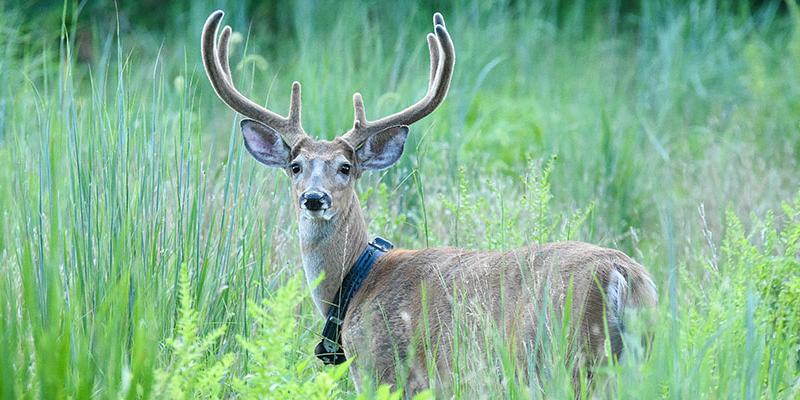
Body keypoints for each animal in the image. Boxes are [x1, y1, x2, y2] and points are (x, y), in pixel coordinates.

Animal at [200, 10, 656, 396]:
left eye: (345, 167)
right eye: (295, 166)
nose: (314, 198)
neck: (355, 283)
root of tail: (624, 275)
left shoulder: (385, 369)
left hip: (569, 358)